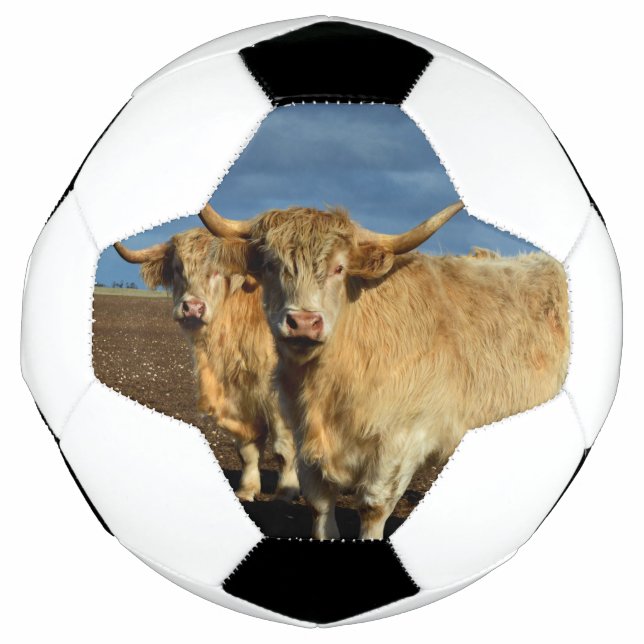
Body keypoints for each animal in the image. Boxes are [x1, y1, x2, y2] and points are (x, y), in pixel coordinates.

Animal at [113, 224, 299, 502]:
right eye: (178, 267)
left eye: (217, 270)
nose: (192, 307)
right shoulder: (237, 400)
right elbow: (247, 449)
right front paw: (247, 489)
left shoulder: (281, 400)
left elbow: (283, 448)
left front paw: (286, 493)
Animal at [199, 200, 570, 540]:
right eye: (271, 265)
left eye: (339, 268)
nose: (303, 322)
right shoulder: (305, 439)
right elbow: (320, 505)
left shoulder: (402, 441)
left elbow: (373, 506)